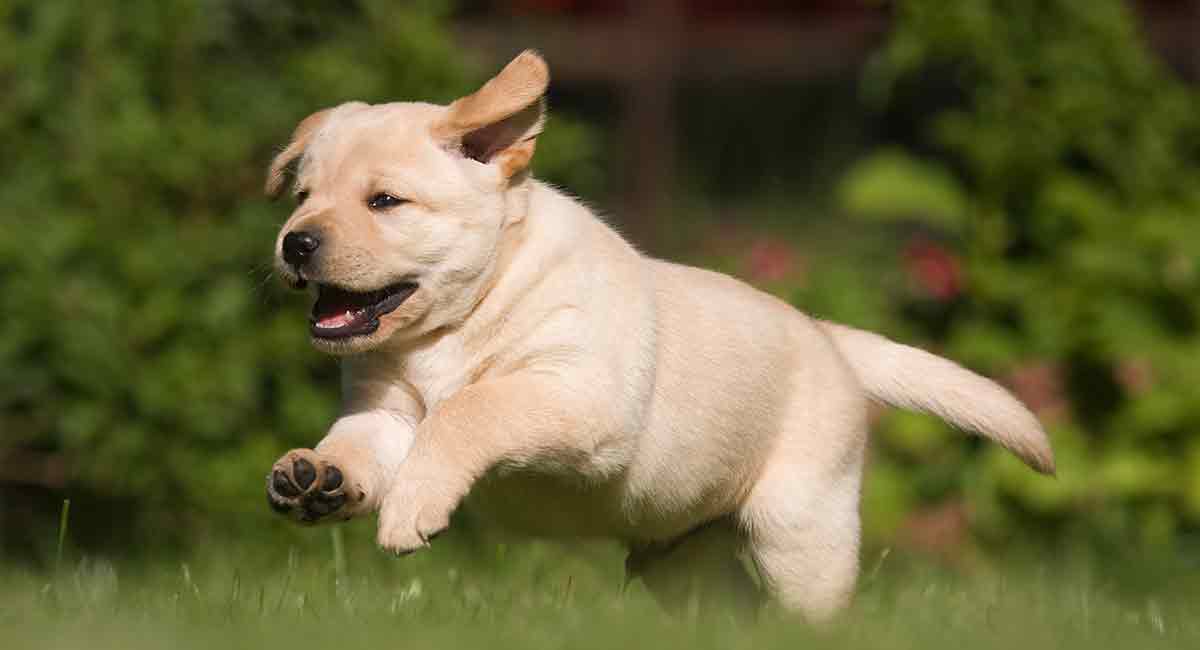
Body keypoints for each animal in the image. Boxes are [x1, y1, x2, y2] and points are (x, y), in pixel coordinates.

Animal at [262, 50, 1051, 623]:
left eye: (385, 201)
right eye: (302, 197)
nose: (295, 243)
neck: (456, 322)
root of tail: (825, 334)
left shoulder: (580, 395)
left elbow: (469, 408)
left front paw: (412, 507)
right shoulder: (386, 415)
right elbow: (361, 445)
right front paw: (317, 477)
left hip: (801, 529)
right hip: (684, 559)